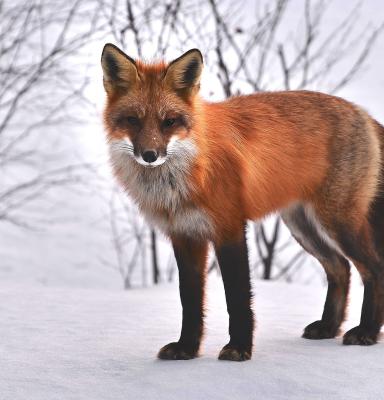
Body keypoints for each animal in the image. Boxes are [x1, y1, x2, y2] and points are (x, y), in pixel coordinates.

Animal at [101, 44, 384, 362]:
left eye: (169, 121)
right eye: (133, 120)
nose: (149, 155)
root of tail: (362, 112)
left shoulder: (230, 228)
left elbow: (237, 297)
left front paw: (238, 348)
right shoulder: (185, 235)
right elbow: (190, 300)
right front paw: (187, 348)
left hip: (338, 222)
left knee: (374, 268)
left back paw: (367, 331)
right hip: (303, 226)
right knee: (340, 269)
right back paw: (328, 327)